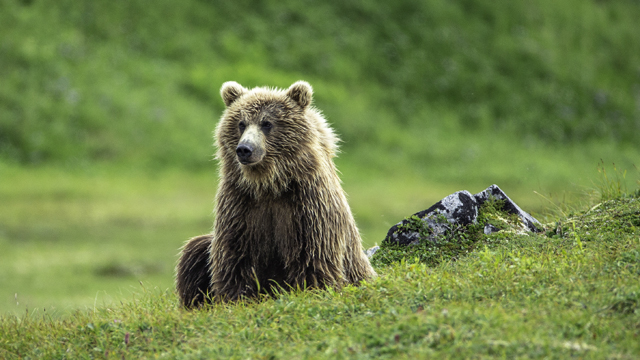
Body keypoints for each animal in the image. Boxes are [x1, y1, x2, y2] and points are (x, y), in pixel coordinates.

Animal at [174, 80, 376, 308]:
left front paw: (311, 290)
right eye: (241, 123)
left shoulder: (308, 205)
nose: (244, 149)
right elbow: (234, 257)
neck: (269, 184)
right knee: (194, 252)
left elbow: (313, 254)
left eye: (267, 123)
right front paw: (236, 299)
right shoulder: (240, 204)